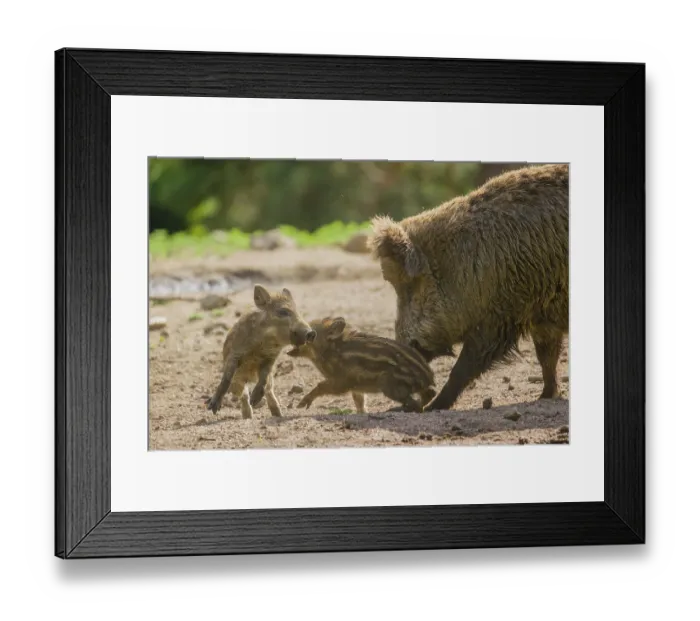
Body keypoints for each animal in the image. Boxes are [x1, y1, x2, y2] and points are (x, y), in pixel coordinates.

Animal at [206, 285, 316, 418]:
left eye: (297, 311)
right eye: (283, 311)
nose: (311, 333)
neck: (264, 341)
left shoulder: (270, 359)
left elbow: (264, 379)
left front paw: (255, 400)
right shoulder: (235, 354)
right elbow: (226, 379)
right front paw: (213, 408)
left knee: (268, 390)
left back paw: (277, 415)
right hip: (238, 381)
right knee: (242, 393)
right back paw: (247, 416)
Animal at [287, 317, 436, 413]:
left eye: (311, 333)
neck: (329, 351)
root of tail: (428, 376)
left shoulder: (341, 382)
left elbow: (321, 386)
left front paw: (301, 404)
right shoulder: (356, 387)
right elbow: (359, 401)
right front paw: (362, 413)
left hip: (389, 385)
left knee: (417, 404)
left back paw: (399, 409)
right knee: (430, 394)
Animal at [369, 164, 569, 411]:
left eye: (410, 287)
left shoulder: (499, 318)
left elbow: (463, 367)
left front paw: (433, 407)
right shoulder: (541, 316)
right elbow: (546, 357)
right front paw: (545, 397)